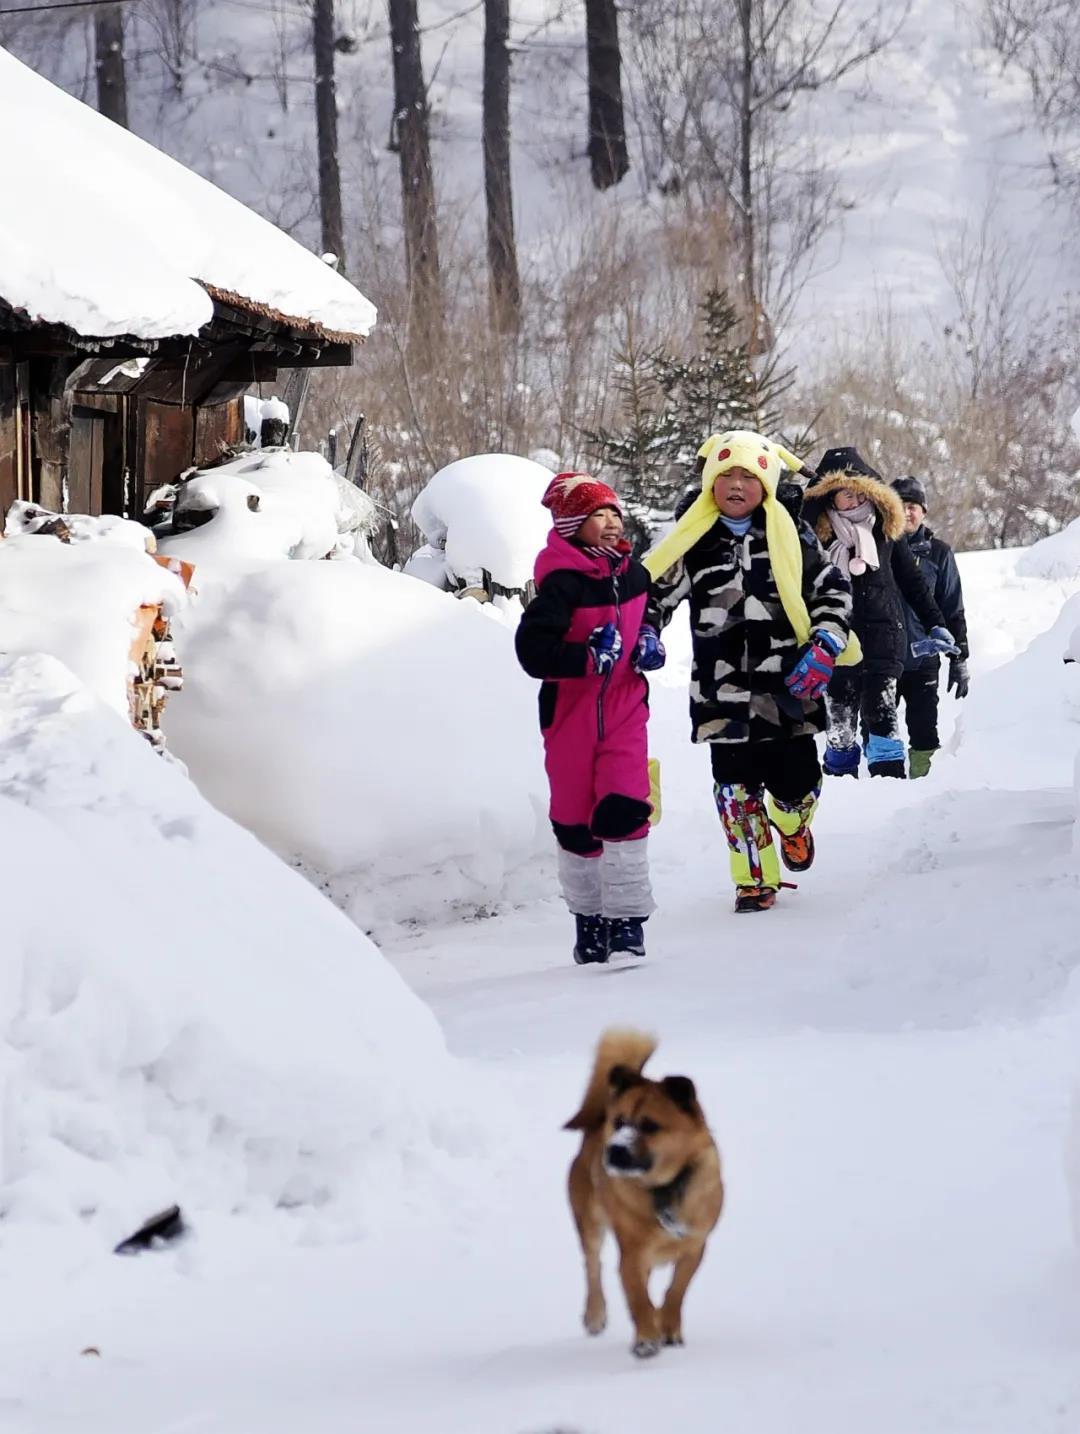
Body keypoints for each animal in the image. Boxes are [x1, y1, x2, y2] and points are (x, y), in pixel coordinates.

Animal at [565, 1032, 725, 1353]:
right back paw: (595, 1314)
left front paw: (668, 1326)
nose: (614, 1149)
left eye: (650, 1125)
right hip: (589, 1221)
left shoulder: (695, 1246)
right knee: (593, 1266)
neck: (664, 1188)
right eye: (619, 1122)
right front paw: (647, 1338)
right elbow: (638, 1298)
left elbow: (676, 1290)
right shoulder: (632, 1253)